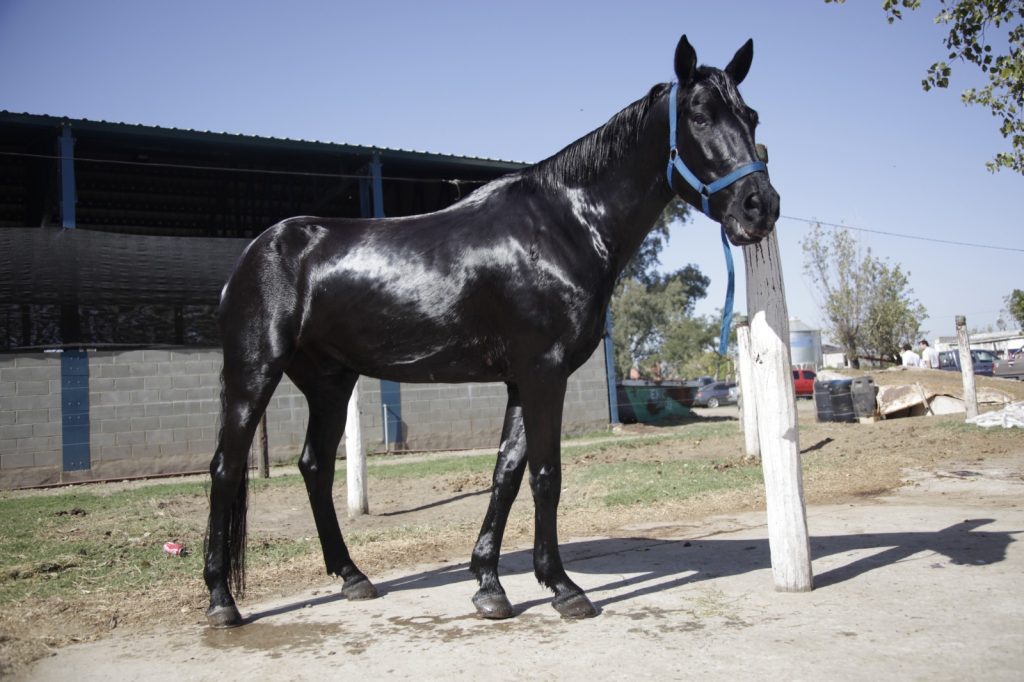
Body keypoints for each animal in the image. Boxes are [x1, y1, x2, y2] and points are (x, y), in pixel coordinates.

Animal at [203, 34, 779, 627]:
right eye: (700, 116)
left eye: (752, 117)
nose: (760, 206)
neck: (567, 225)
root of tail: (254, 253)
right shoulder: (545, 373)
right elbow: (546, 475)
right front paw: (563, 587)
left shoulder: (521, 380)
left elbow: (506, 473)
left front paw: (489, 586)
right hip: (254, 372)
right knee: (225, 468)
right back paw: (223, 600)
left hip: (329, 382)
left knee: (314, 466)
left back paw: (352, 577)